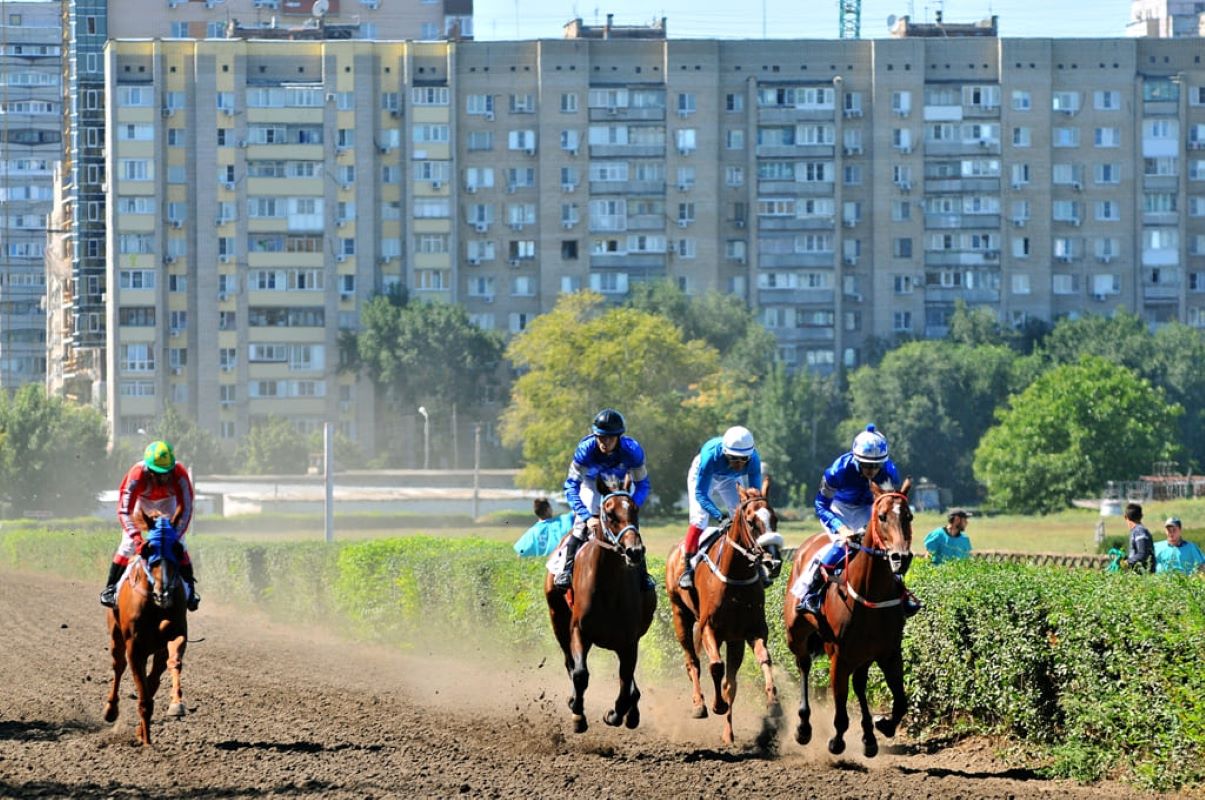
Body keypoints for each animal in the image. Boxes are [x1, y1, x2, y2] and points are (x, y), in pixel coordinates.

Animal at [103, 515, 187, 746]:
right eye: (148, 550)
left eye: (178, 550)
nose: (164, 593)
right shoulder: (134, 647)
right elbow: (143, 694)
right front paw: (148, 743)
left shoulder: (174, 636)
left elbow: (171, 664)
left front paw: (176, 704)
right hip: (116, 637)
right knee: (118, 666)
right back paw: (110, 710)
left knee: (153, 678)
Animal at [549, 477, 660, 732]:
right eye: (609, 514)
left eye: (635, 509)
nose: (634, 551)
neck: (608, 587)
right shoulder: (579, 629)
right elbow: (580, 673)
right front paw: (578, 714)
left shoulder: (629, 640)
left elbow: (626, 681)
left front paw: (616, 714)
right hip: (557, 620)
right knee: (569, 662)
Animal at [665, 477, 785, 746]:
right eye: (751, 522)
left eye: (774, 518)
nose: (773, 563)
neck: (736, 576)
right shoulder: (709, 628)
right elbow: (715, 666)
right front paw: (715, 705)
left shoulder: (752, 630)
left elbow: (764, 660)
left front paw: (773, 703)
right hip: (680, 615)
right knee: (693, 662)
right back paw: (699, 704)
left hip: (734, 640)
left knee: (731, 683)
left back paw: (728, 733)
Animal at [780, 477, 910, 761]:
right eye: (882, 516)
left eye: (909, 516)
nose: (901, 558)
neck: (869, 594)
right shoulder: (838, 656)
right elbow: (839, 702)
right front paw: (837, 741)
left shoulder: (889, 653)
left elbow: (901, 702)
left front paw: (883, 724)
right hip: (796, 635)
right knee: (803, 665)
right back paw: (804, 727)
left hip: (862, 655)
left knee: (860, 684)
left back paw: (869, 737)